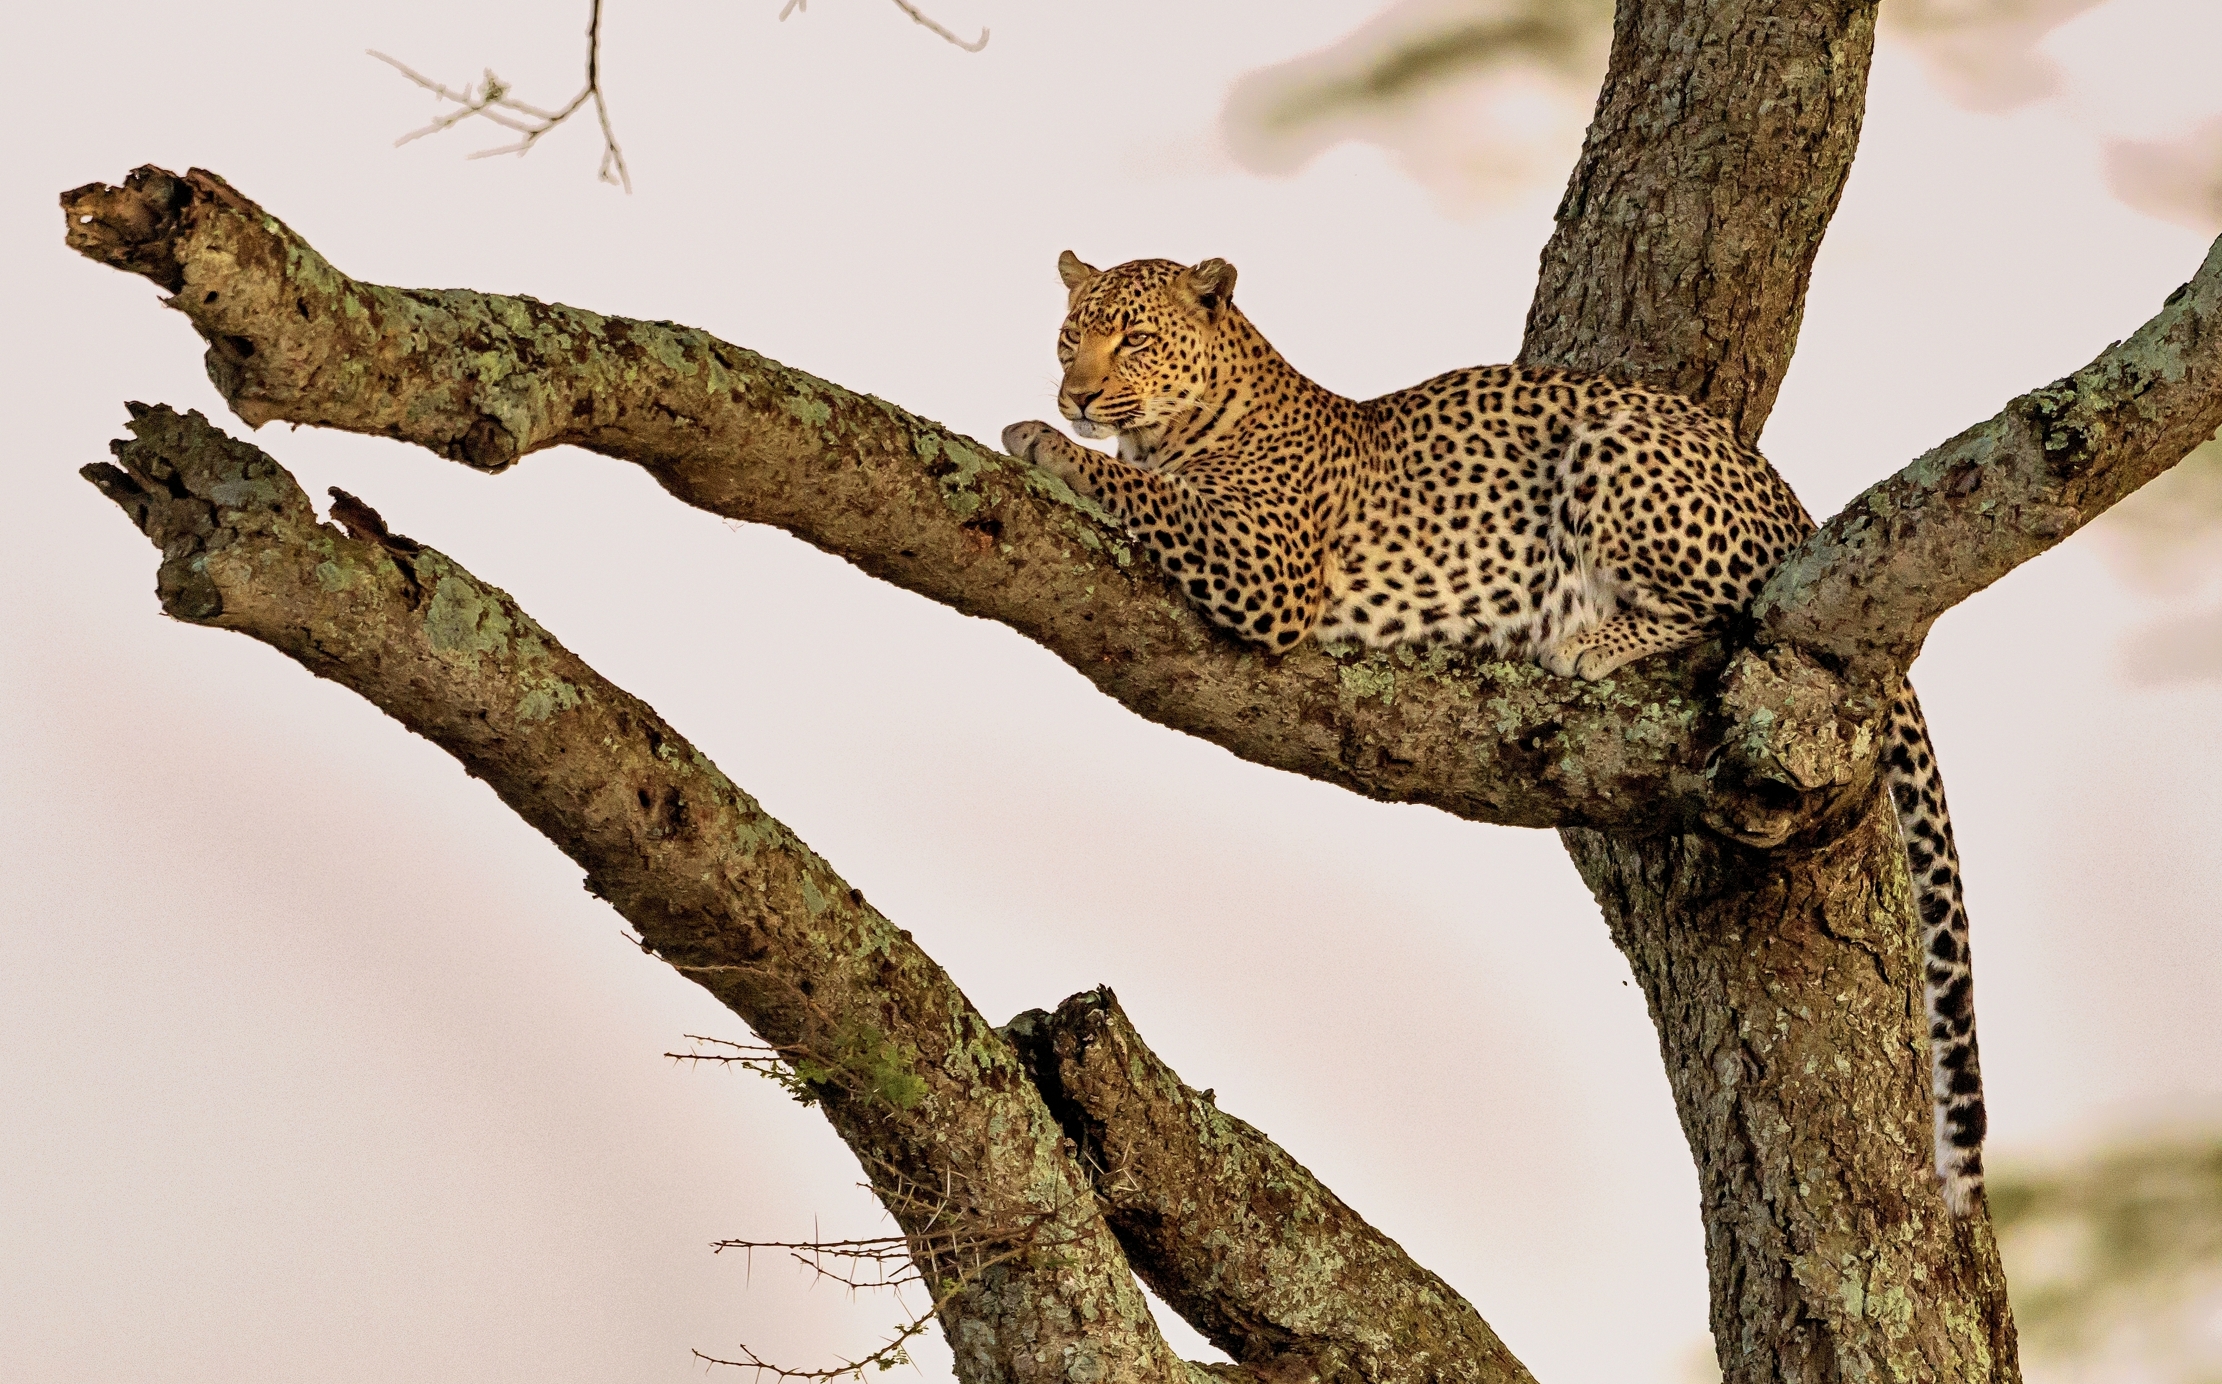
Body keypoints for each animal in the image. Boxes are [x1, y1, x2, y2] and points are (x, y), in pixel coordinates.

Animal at [1001, 252, 1988, 1215]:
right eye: (1069, 338)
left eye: (1133, 339)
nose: (1076, 396)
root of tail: (1794, 502)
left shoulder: (1267, 563)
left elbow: (1147, 492)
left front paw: (1042, 443)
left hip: (1617, 448)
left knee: (1737, 611)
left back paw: (1587, 636)